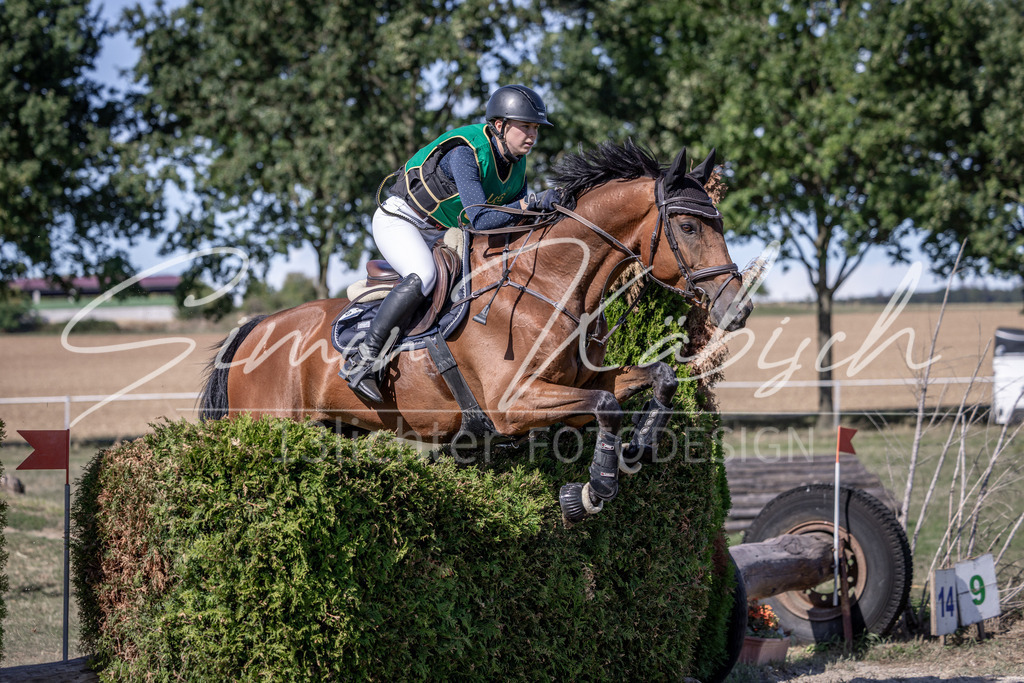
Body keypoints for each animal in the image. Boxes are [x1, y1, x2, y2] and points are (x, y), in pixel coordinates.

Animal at [199, 142, 754, 522]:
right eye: (689, 227)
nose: (739, 308)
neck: (552, 285)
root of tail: (255, 329)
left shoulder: (574, 385)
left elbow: (655, 379)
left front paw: (635, 450)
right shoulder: (513, 403)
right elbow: (607, 407)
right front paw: (591, 491)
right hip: (264, 424)